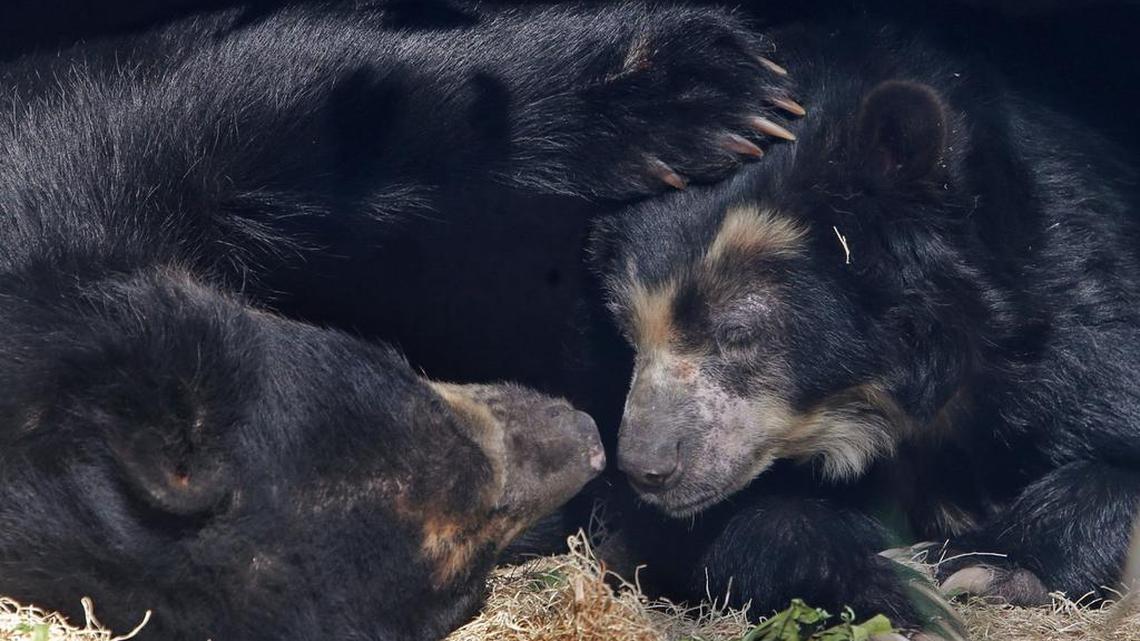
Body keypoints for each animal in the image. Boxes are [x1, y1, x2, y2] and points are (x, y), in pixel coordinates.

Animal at [0, 1, 800, 639]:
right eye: (465, 585)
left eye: (406, 396)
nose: (589, 439)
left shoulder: (66, 168)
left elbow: (286, 99)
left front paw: (712, 87)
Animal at [591, 14, 1140, 637]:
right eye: (628, 330)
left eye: (738, 333)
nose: (648, 468)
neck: (875, 394)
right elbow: (706, 531)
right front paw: (887, 589)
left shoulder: (1073, 318)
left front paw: (980, 568)